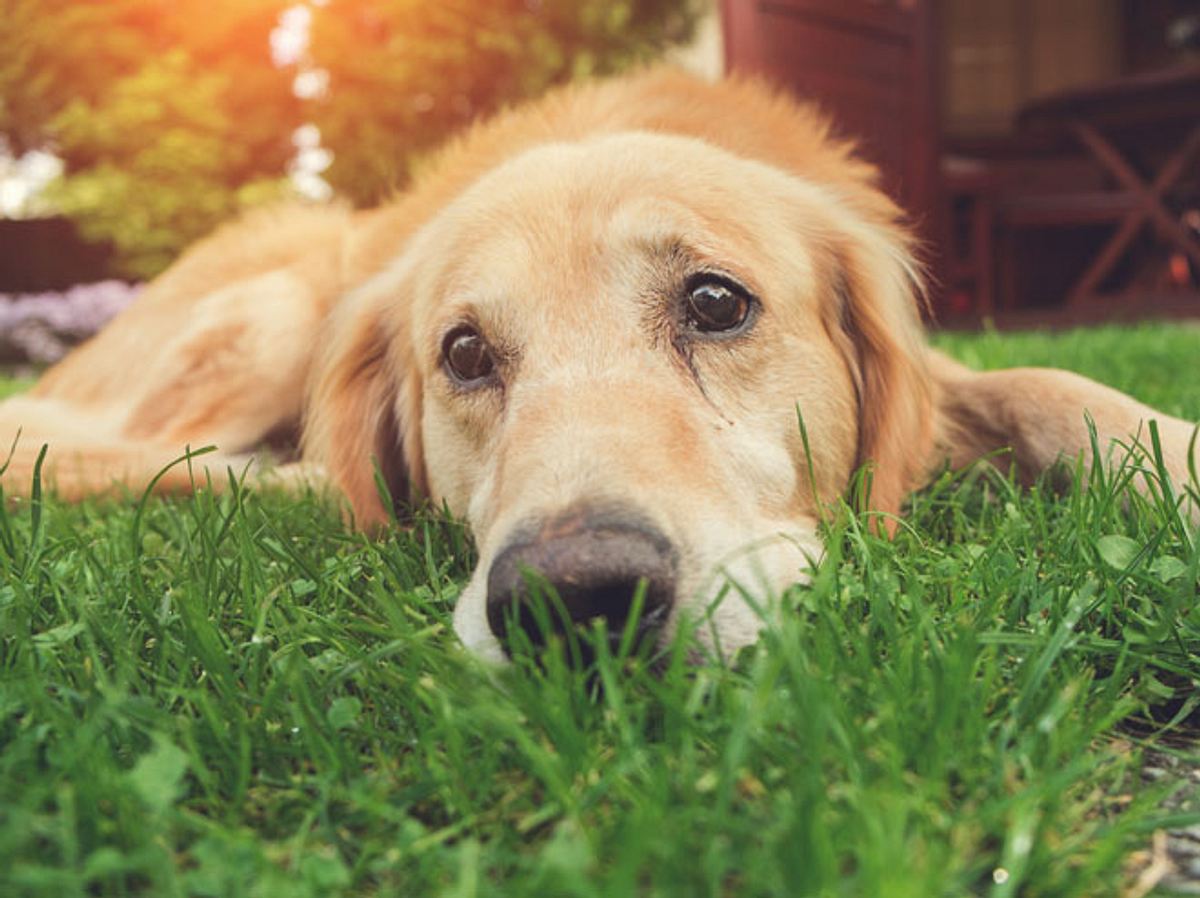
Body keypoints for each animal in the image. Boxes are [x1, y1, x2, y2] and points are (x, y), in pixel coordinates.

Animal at [2, 70, 1200, 657]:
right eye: (465, 352)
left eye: (715, 302)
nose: (578, 599)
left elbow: (1056, 389)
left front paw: (1177, 459)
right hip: (274, 313)